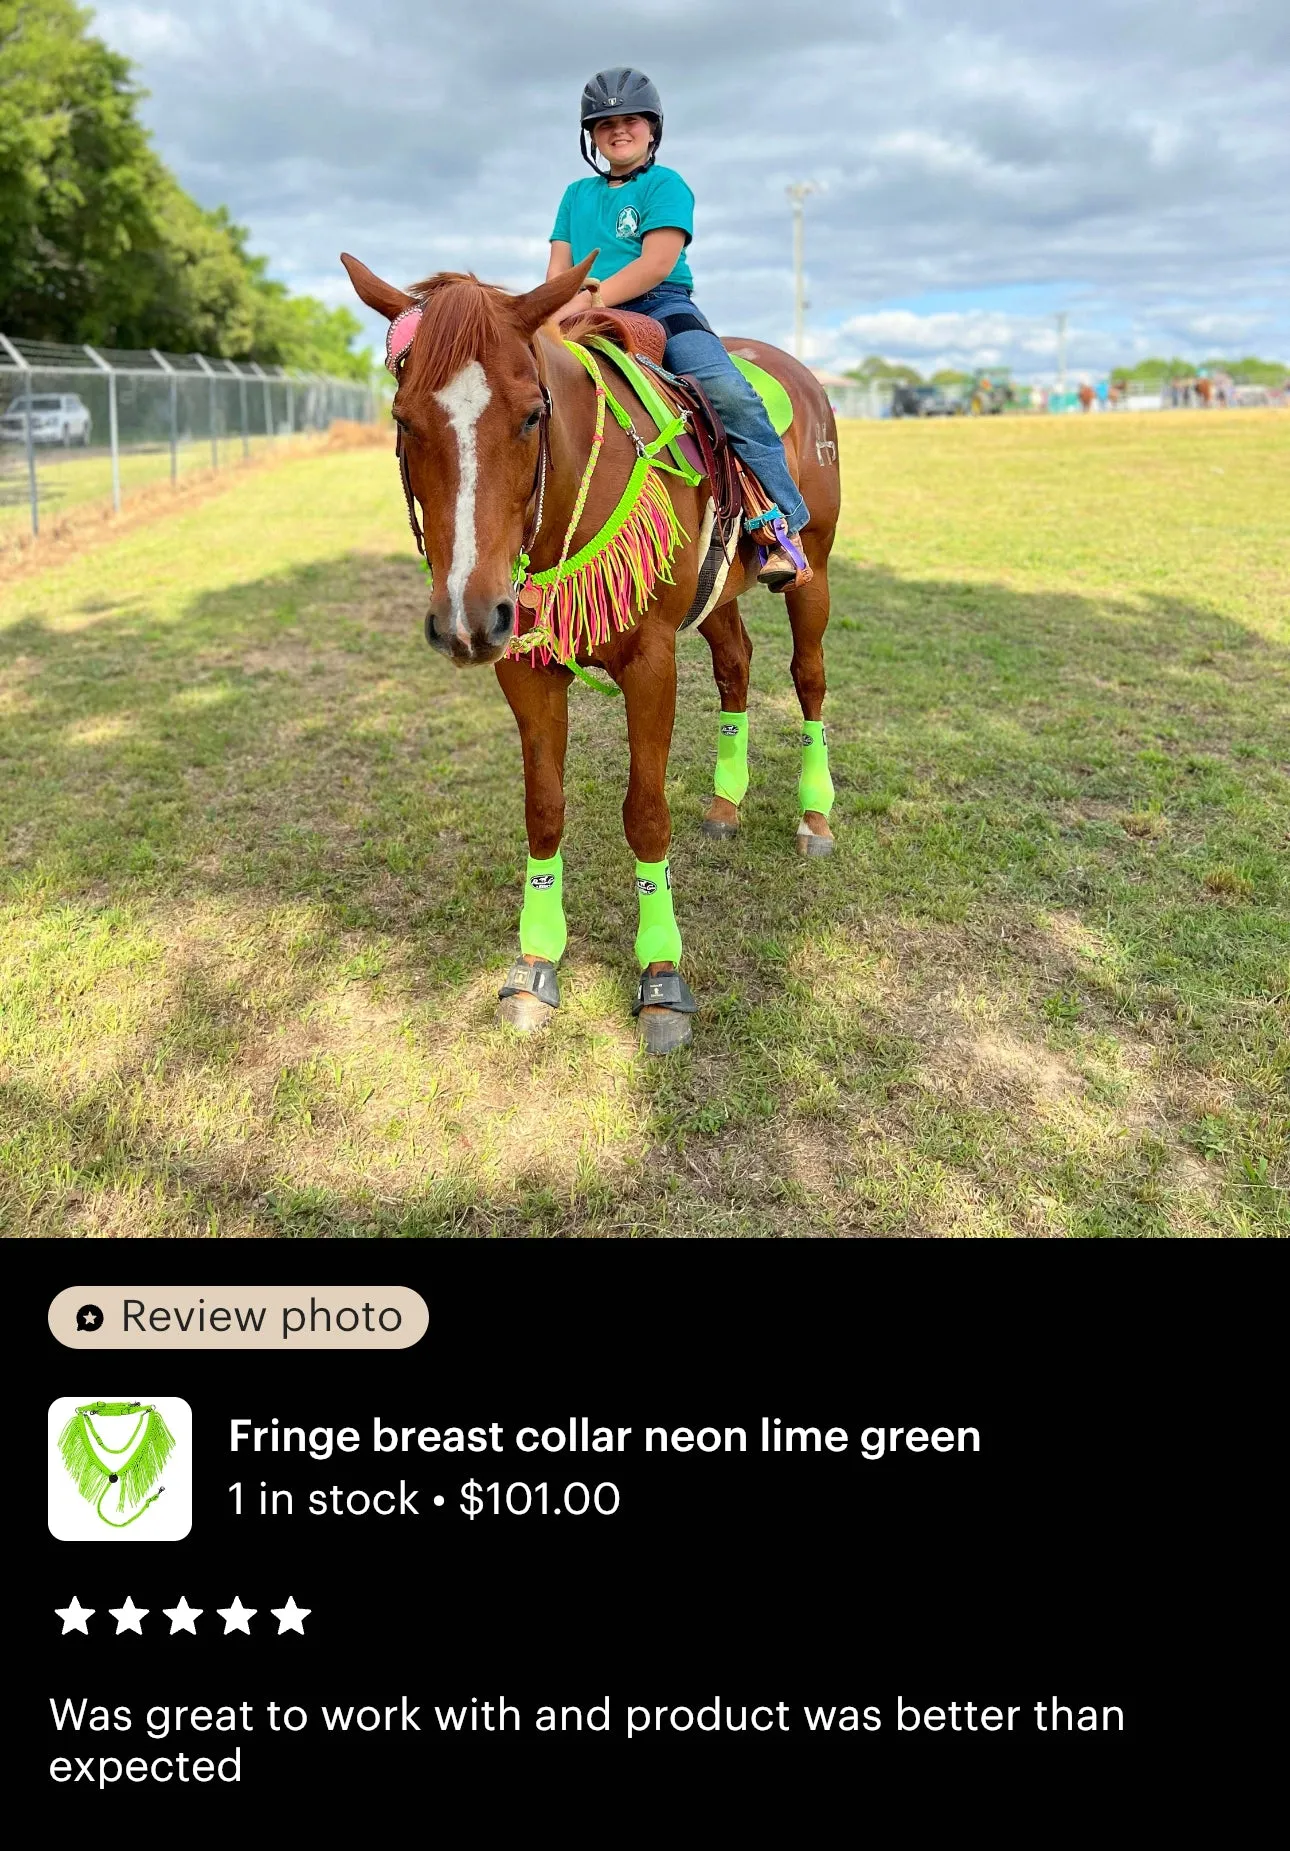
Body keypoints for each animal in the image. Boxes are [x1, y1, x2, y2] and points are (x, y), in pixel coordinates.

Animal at [342, 251, 840, 1051]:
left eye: (531, 414)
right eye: (403, 420)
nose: (465, 619)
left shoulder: (651, 663)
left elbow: (646, 814)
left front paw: (662, 977)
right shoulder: (523, 666)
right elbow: (544, 809)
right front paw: (535, 961)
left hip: (813, 570)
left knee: (809, 678)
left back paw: (815, 816)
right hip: (718, 595)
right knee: (735, 667)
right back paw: (725, 803)